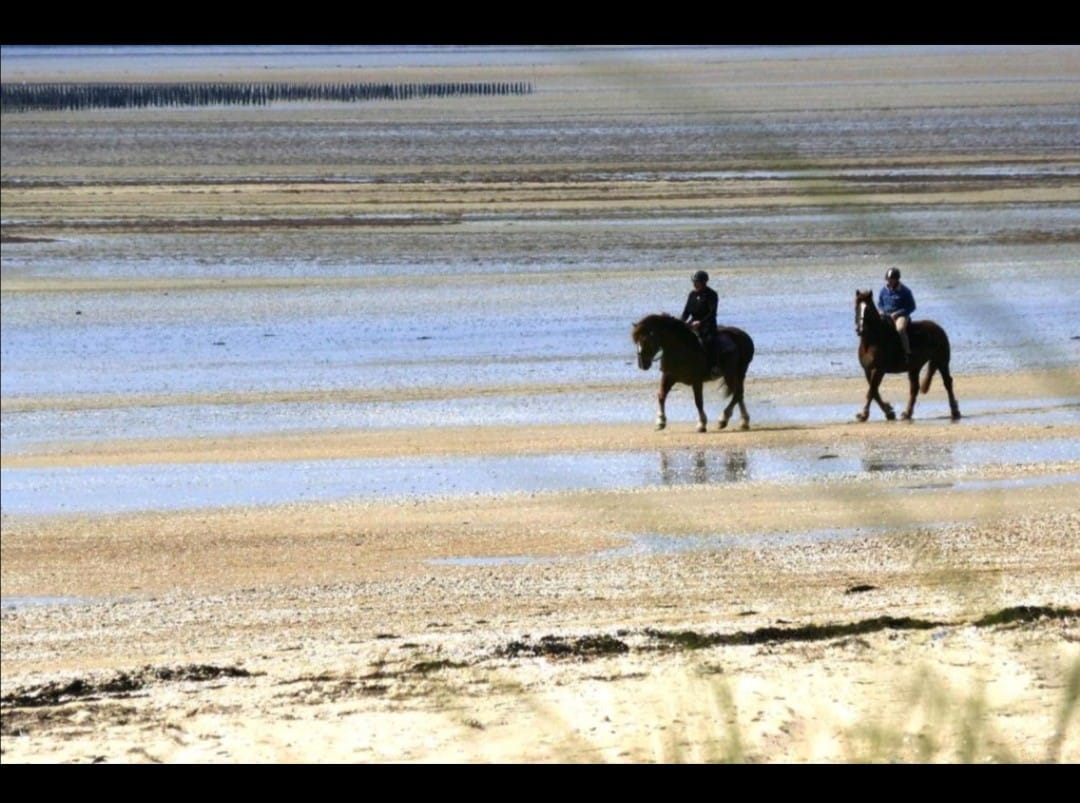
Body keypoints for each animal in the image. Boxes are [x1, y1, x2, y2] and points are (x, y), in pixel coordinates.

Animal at [855, 289, 959, 423]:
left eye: (867, 310)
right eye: (857, 307)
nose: (860, 330)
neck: (871, 341)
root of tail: (938, 328)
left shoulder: (879, 370)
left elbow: (871, 391)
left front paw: (863, 415)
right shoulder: (868, 370)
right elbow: (875, 392)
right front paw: (889, 411)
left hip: (942, 362)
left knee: (947, 383)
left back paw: (955, 411)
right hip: (914, 368)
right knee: (914, 389)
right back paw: (907, 413)